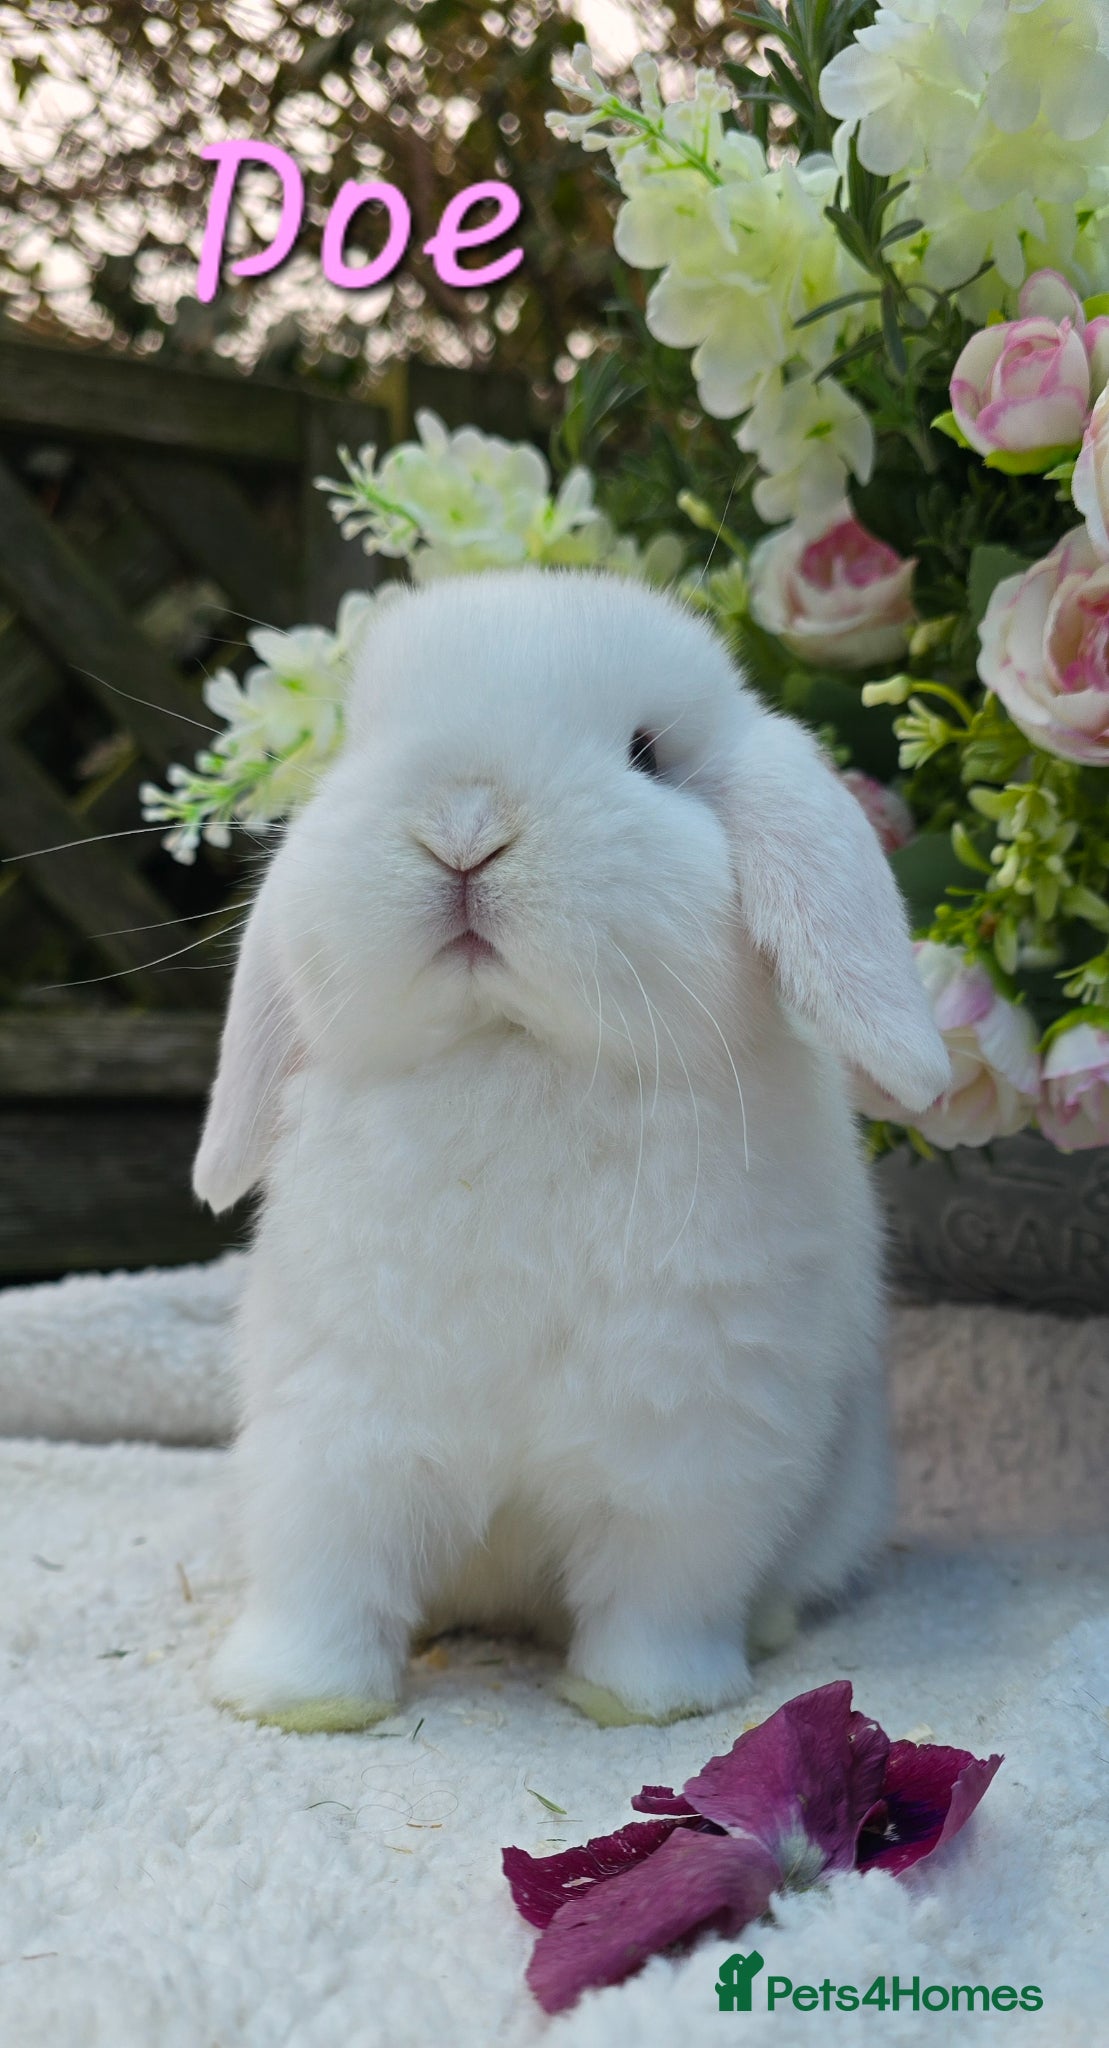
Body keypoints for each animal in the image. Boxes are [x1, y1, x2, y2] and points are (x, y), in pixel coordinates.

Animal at [196, 567, 948, 1732]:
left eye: (646, 751)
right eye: (367, 743)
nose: (463, 825)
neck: (516, 1051)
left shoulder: (688, 1446)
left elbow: (659, 1586)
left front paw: (643, 1701)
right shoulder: (338, 1428)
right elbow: (326, 1568)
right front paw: (292, 1699)